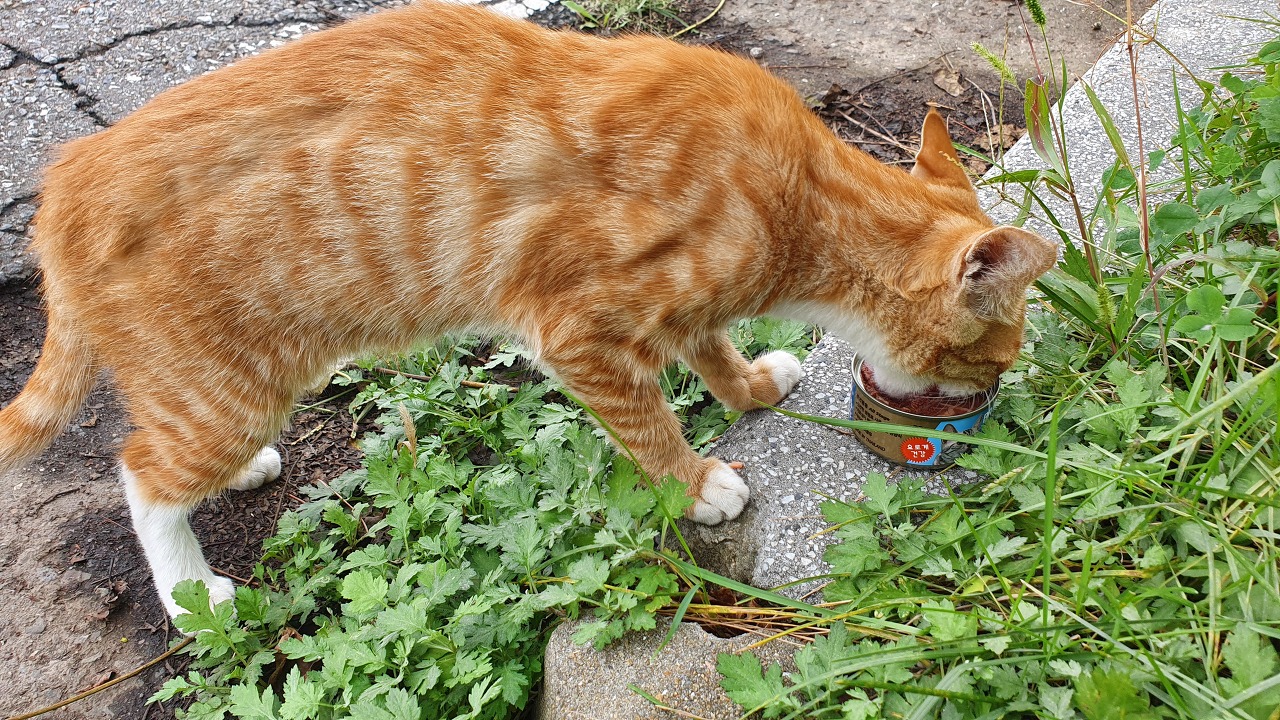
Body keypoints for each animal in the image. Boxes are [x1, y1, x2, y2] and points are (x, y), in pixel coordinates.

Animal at [0, 1, 1057, 619]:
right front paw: (696, 482)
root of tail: (63, 187)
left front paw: (753, 384)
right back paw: (191, 592)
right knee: (140, 473)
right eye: (993, 362)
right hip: (224, 388)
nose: (991, 399)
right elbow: (648, 417)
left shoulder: (686, 304)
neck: (801, 200)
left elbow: (707, 347)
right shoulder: (573, 327)